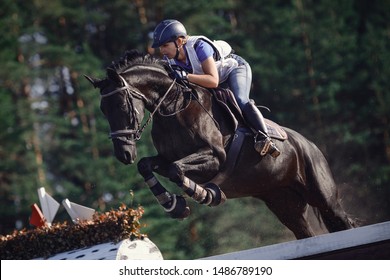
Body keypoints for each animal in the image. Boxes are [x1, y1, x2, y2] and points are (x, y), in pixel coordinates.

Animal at [87, 49, 354, 238]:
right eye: (102, 109)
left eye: (122, 105)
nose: (123, 154)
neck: (174, 106)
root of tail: (310, 145)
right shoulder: (164, 158)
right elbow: (147, 165)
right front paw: (173, 205)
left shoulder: (215, 157)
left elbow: (176, 169)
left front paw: (204, 194)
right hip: (284, 203)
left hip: (322, 196)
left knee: (340, 219)